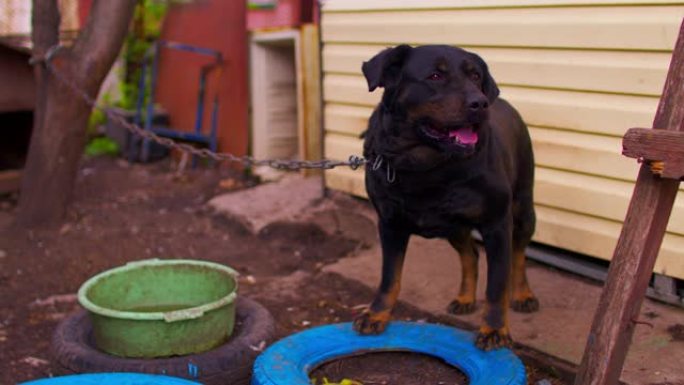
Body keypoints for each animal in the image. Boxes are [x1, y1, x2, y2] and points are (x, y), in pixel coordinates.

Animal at [352, 44, 540, 348]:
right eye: (435, 75)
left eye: (476, 76)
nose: (480, 103)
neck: (427, 166)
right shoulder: (390, 223)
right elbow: (389, 277)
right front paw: (376, 314)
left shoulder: (497, 223)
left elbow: (497, 283)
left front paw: (495, 329)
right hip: (454, 227)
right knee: (470, 254)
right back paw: (464, 298)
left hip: (523, 208)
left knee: (519, 253)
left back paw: (523, 295)